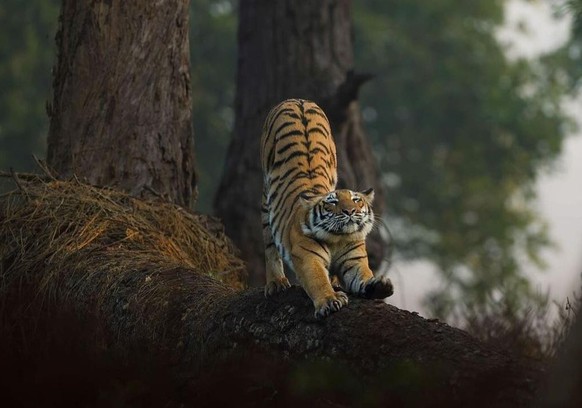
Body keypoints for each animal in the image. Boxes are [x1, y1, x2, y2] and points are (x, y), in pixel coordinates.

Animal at [262, 99, 394, 318]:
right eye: (332, 202)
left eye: (356, 200)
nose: (350, 211)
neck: (338, 238)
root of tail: (297, 100)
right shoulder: (309, 258)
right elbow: (318, 281)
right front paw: (330, 300)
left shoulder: (354, 260)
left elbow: (363, 275)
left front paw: (379, 286)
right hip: (266, 197)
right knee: (269, 243)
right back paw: (276, 282)